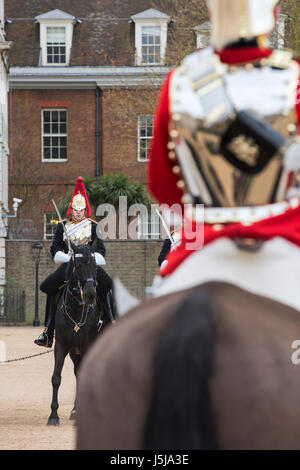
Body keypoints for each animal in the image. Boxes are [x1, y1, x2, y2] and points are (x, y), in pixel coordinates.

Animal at [47, 241, 106, 428]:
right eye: (78, 265)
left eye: (95, 265)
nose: (90, 295)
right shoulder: (62, 346)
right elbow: (56, 378)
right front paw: (53, 415)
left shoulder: (88, 346)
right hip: (75, 353)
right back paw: (75, 410)